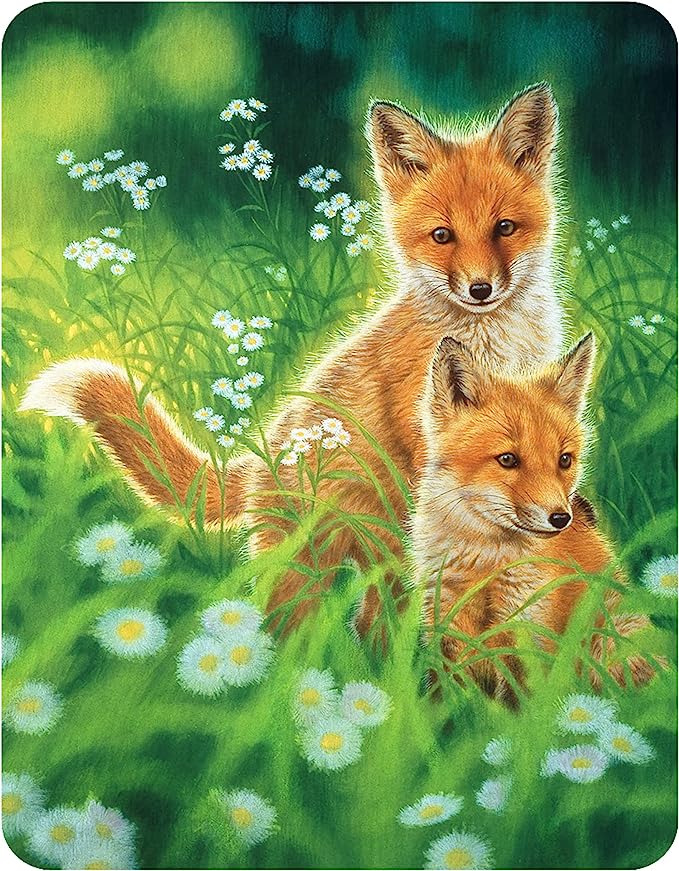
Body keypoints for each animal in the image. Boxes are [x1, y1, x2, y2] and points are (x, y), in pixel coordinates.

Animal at [21, 83, 566, 629]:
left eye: (505, 228)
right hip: (309, 567)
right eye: (441, 236)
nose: (480, 289)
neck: (495, 343)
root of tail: (265, 457)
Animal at [412, 333, 656, 705]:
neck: (485, 562)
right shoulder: (444, 620)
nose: (561, 518)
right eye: (508, 459)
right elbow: (448, 698)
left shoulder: (527, 626)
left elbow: (520, 703)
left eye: (564, 460)